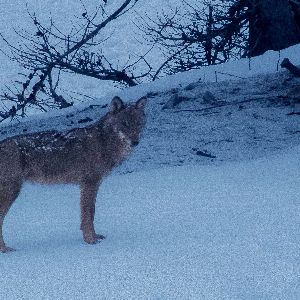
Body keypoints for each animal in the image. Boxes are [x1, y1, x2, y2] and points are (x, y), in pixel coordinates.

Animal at [0, 95, 146, 252]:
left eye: (138, 124)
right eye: (124, 124)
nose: (135, 142)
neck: (104, 142)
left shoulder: (93, 185)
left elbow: (90, 213)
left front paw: (94, 237)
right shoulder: (89, 184)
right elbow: (88, 215)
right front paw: (90, 241)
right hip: (12, 192)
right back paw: (5, 249)